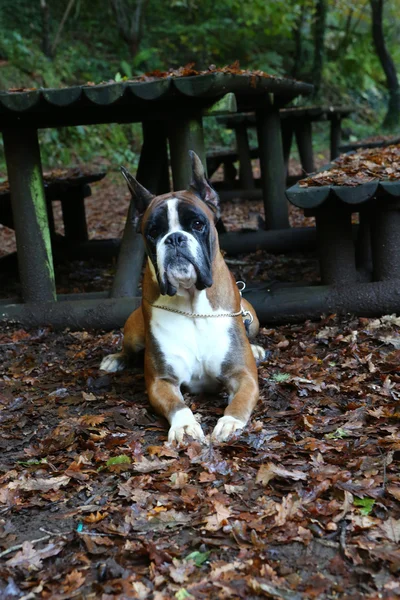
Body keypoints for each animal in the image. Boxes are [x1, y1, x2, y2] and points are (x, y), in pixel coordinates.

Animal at [100, 152, 264, 442]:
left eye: (197, 224)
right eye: (153, 231)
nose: (174, 238)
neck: (191, 305)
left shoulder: (243, 376)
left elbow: (240, 400)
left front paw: (230, 422)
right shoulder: (161, 381)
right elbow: (177, 405)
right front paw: (185, 426)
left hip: (251, 315)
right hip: (133, 332)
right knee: (128, 348)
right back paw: (115, 359)